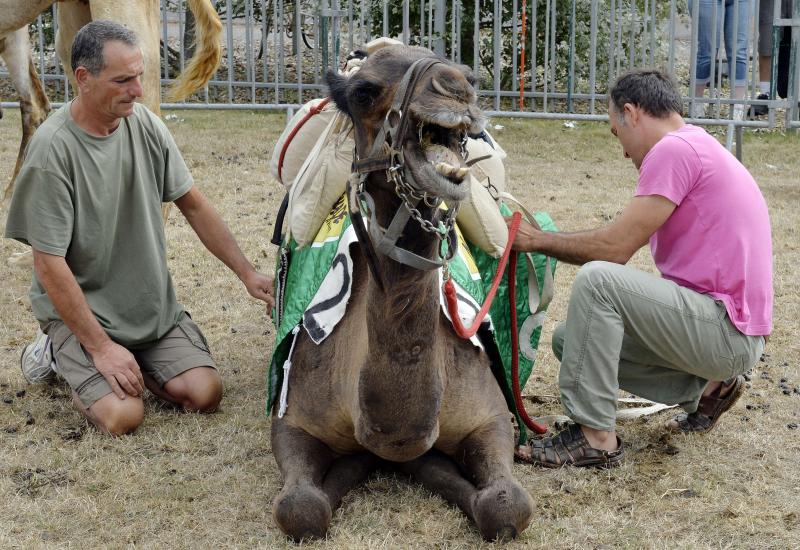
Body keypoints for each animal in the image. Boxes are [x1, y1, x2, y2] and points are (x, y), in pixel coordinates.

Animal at [272, 45, 536, 544]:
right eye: (362, 92)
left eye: (468, 74)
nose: (456, 86)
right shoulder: (292, 419)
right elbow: (301, 509)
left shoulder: (489, 416)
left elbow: (507, 506)